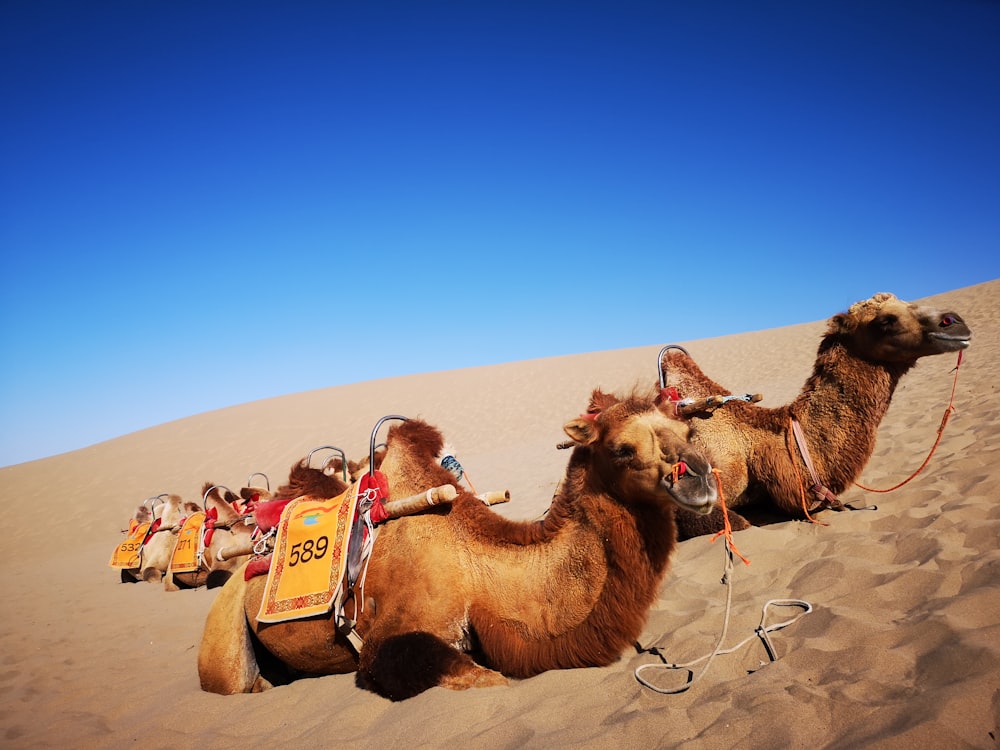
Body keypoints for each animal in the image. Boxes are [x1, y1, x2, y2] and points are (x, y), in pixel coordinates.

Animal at [199, 390, 720, 704]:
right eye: (622, 449)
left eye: (688, 432)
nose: (701, 477)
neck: (480, 575)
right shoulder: (391, 640)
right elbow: (488, 679)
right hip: (222, 637)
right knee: (234, 681)